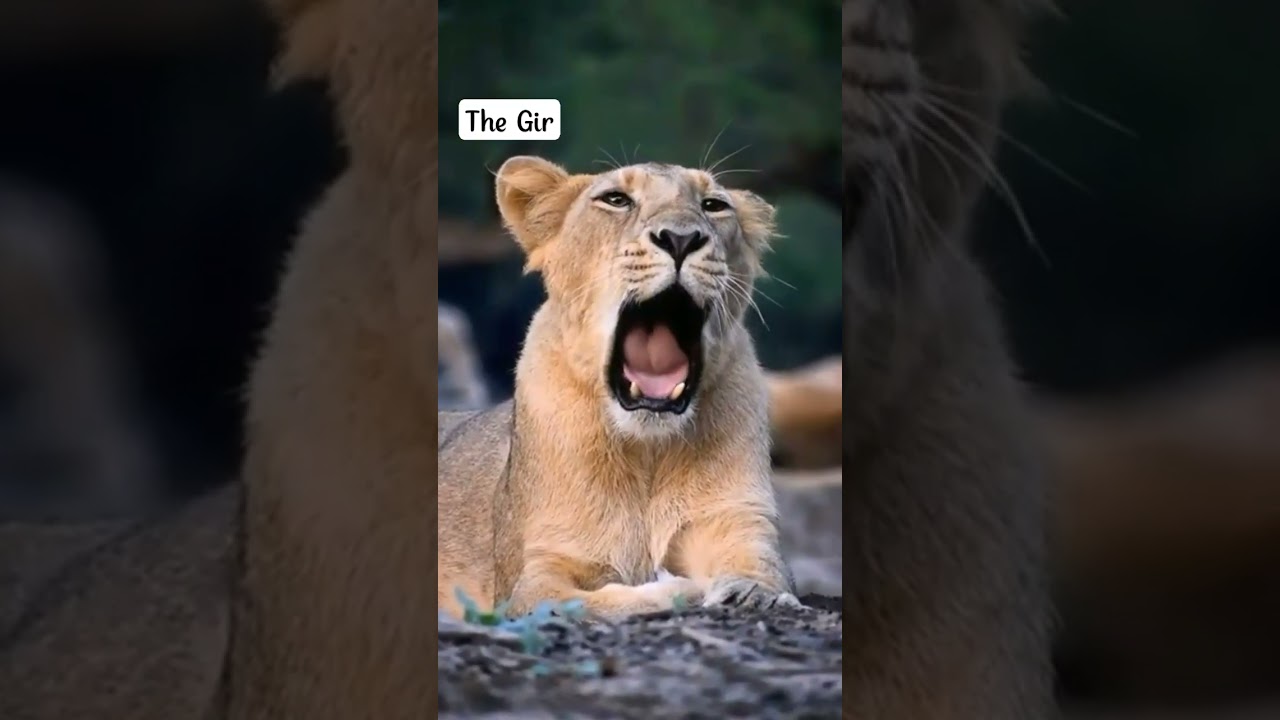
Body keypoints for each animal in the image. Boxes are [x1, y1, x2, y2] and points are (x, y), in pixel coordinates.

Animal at [438, 156, 798, 619]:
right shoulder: (537, 574)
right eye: (616, 199)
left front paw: (751, 591)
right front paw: (678, 588)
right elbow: (586, 603)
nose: (681, 238)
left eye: (714, 205)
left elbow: (762, 564)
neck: (647, 449)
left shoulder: (738, 519)